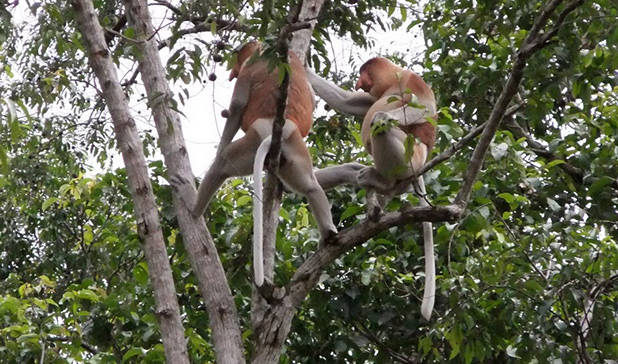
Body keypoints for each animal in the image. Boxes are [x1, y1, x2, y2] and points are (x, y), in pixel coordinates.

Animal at [192, 42, 336, 288]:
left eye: (239, 59)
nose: (232, 72)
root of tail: (276, 131)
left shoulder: (250, 66)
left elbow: (237, 105)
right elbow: (312, 93)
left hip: (253, 140)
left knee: (222, 164)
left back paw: (194, 212)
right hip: (295, 151)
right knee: (310, 186)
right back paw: (329, 233)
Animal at [306, 57, 436, 318]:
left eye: (364, 74)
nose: (359, 83)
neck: (393, 81)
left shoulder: (413, 81)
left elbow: (425, 107)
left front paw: (382, 115)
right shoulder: (373, 96)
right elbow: (348, 102)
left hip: (411, 155)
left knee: (382, 127)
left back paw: (384, 180)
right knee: (353, 170)